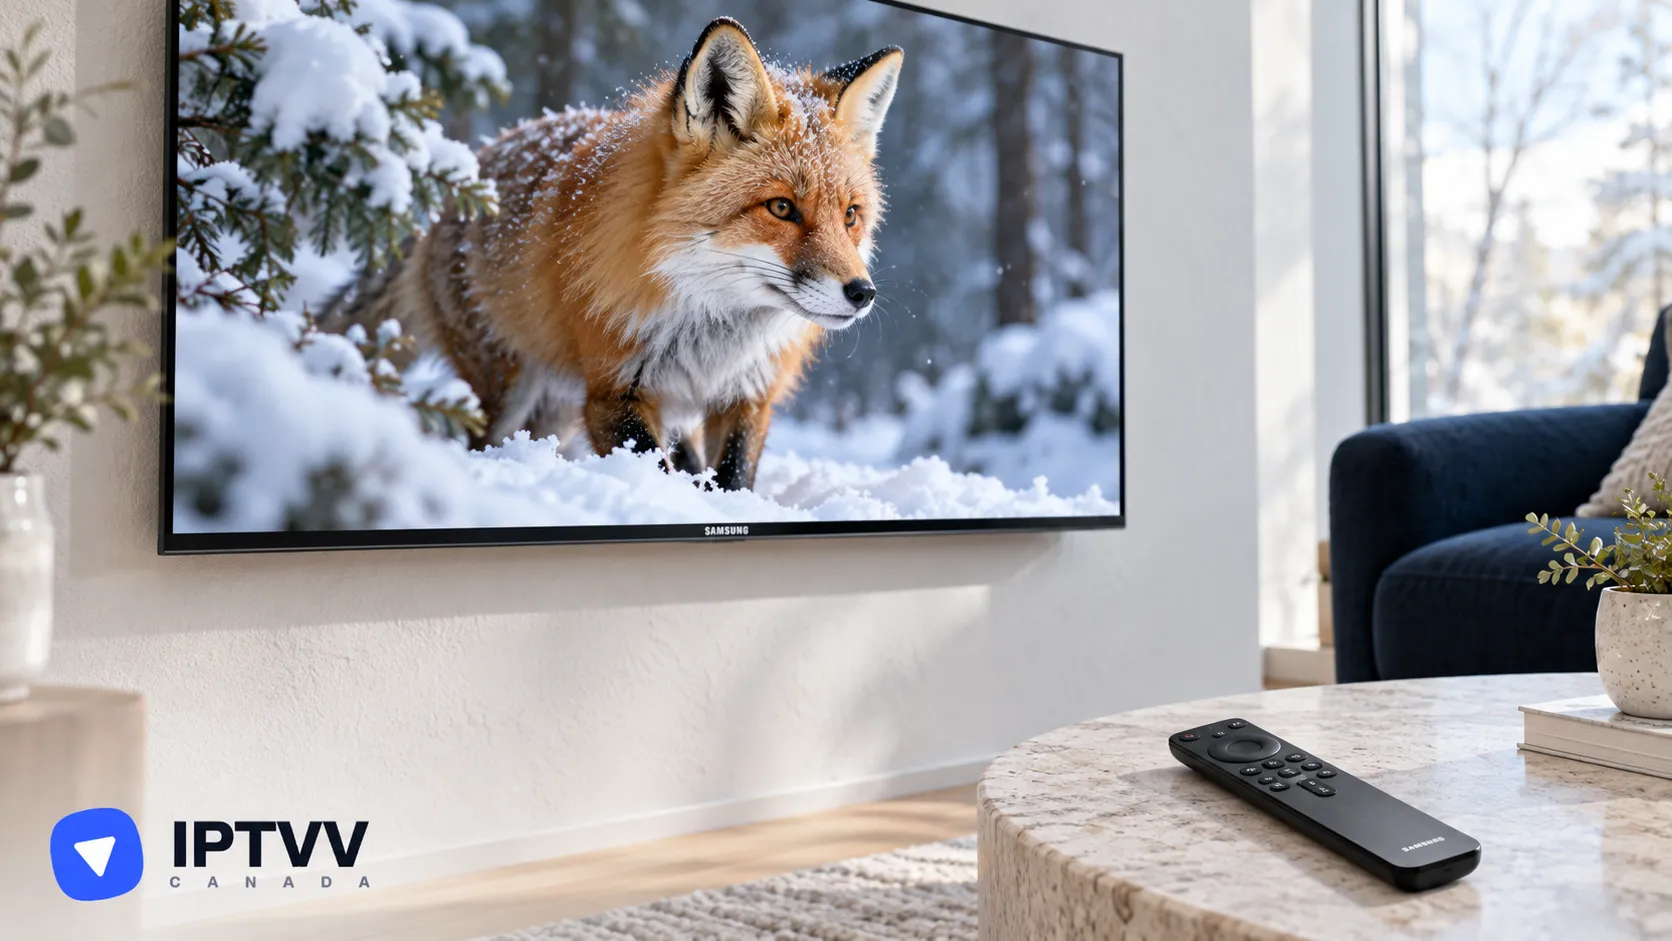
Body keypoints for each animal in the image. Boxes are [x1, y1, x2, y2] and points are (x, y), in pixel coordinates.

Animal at [336, 17, 905, 492]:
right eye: (782, 207)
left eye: (850, 215)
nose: (863, 293)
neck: (711, 329)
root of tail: (465, 174)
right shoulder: (613, 392)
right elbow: (659, 472)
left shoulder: (748, 394)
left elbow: (732, 478)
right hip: (505, 391)